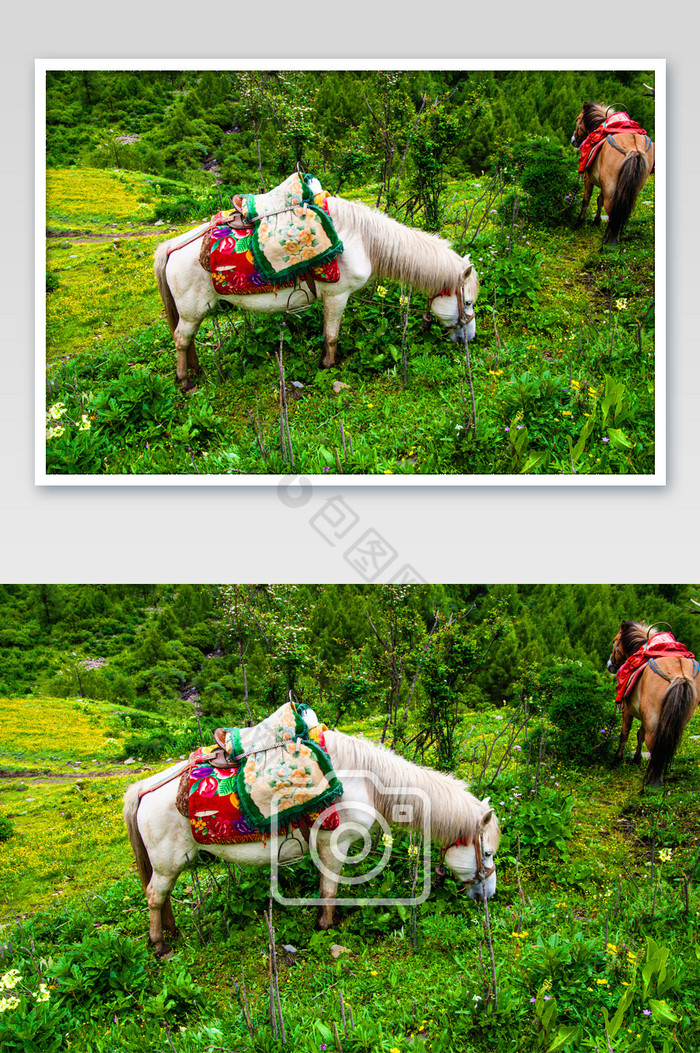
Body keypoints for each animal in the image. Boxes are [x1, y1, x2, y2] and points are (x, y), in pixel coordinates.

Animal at [122, 728, 498, 960]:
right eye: (488, 852)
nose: (488, 895)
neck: (365, 779)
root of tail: (145, 788)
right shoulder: (336, 844)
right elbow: (330, 888)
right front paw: (326, 926)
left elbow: (325, 885)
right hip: (169, 862)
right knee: (155, 896)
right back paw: (160, 945)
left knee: (162, 897)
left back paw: (171, 931)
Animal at [154, 196, 477, 391]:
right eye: (468, 301)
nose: (468, 339)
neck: (362, 239)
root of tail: (171, 247)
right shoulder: (338, 296)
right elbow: (331, 335)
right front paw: (328, 365)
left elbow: (328, 333)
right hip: (193, 311)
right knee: (181, 340)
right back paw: (186, 382)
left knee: (187, 341)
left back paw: (195, 371)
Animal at [572, 103, 652, 245]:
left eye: (577, 119)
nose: (573, 140)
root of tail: (634, 149)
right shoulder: (604, 184)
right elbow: (599, 200)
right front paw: (596, 221)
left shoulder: (589, 179)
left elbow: (586, 199)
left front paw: (580, 221)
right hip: (632, 189)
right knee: (622, 211)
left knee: (613, 211)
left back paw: (607, 243)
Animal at [602, 619, 694, 787]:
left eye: (614, 640)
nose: (610, 665)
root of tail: (680, 676)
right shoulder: (645, 714)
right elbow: (640, 735)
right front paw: (636, 759)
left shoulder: (628, 710)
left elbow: (625, 733)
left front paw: (617, 759)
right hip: (676, 722)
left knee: (655, 748)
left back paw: (649, 784)